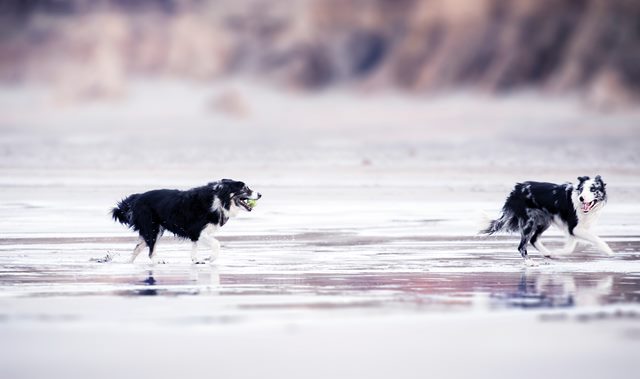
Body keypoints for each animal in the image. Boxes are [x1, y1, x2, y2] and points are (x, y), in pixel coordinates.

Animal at [482, 175, 612, 264]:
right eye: (581, 189)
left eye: (593, 189)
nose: (581, 198)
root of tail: (516, 190)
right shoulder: (574, 227)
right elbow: (595, 239)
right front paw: (608, 251)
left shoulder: (574, 230)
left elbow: (570, 247)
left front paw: (555, 253)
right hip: (529, 223)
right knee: (522, 246)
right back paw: (530, 262)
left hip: (544, 221)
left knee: (533, 240)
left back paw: (547, 253)